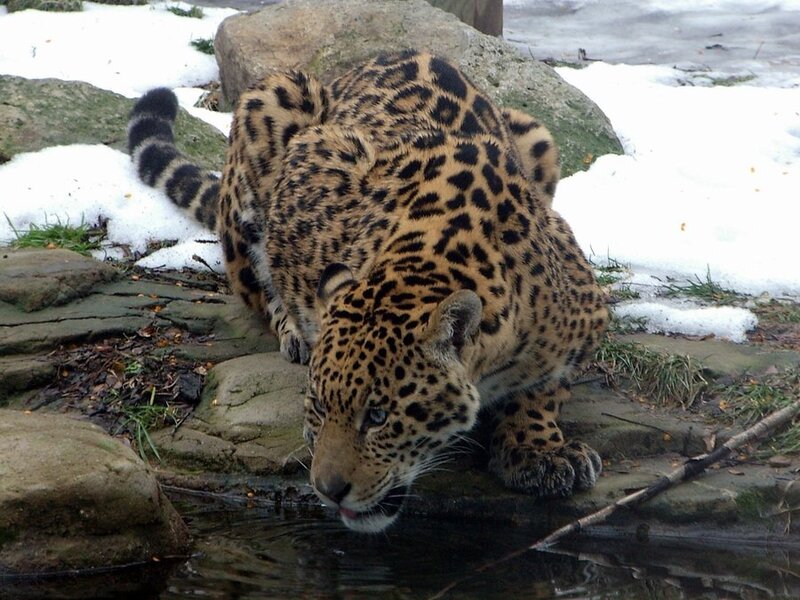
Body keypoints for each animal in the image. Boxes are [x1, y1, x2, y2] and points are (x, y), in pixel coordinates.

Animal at [128, 50, 607, 533]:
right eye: (320, 405)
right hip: (272, 103)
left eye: (378, 418)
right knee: (257, 285)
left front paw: (539, 450)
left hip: (537, 134)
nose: (327, 488)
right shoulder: (317, 160)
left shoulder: (585, 310)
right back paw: (294, 331)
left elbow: (546, 387)